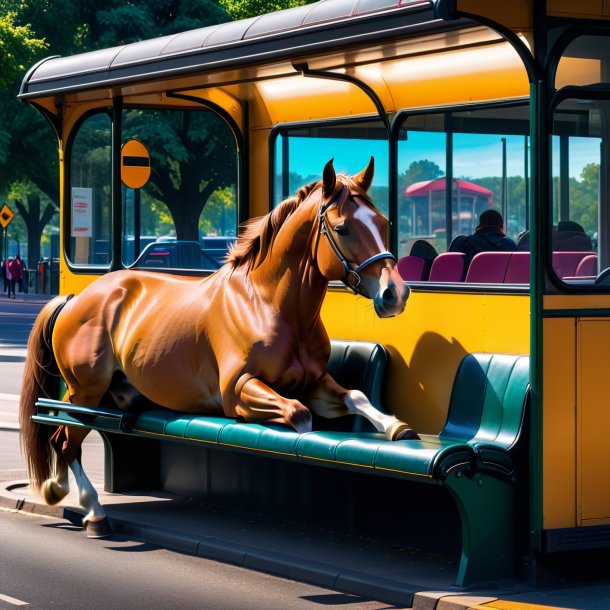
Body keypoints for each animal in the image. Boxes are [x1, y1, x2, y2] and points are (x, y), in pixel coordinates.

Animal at [20, 158, 418, 536]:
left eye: (382, 223)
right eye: (343, 228)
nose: (395, 295)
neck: (266, 303)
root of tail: (76, 299)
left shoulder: (316, 383)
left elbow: (356, 397)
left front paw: (398, 428)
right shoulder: (238, 391)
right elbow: (300, 416)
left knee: (62, 437)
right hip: (85, 392)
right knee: (64, 440)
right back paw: (91, 511)